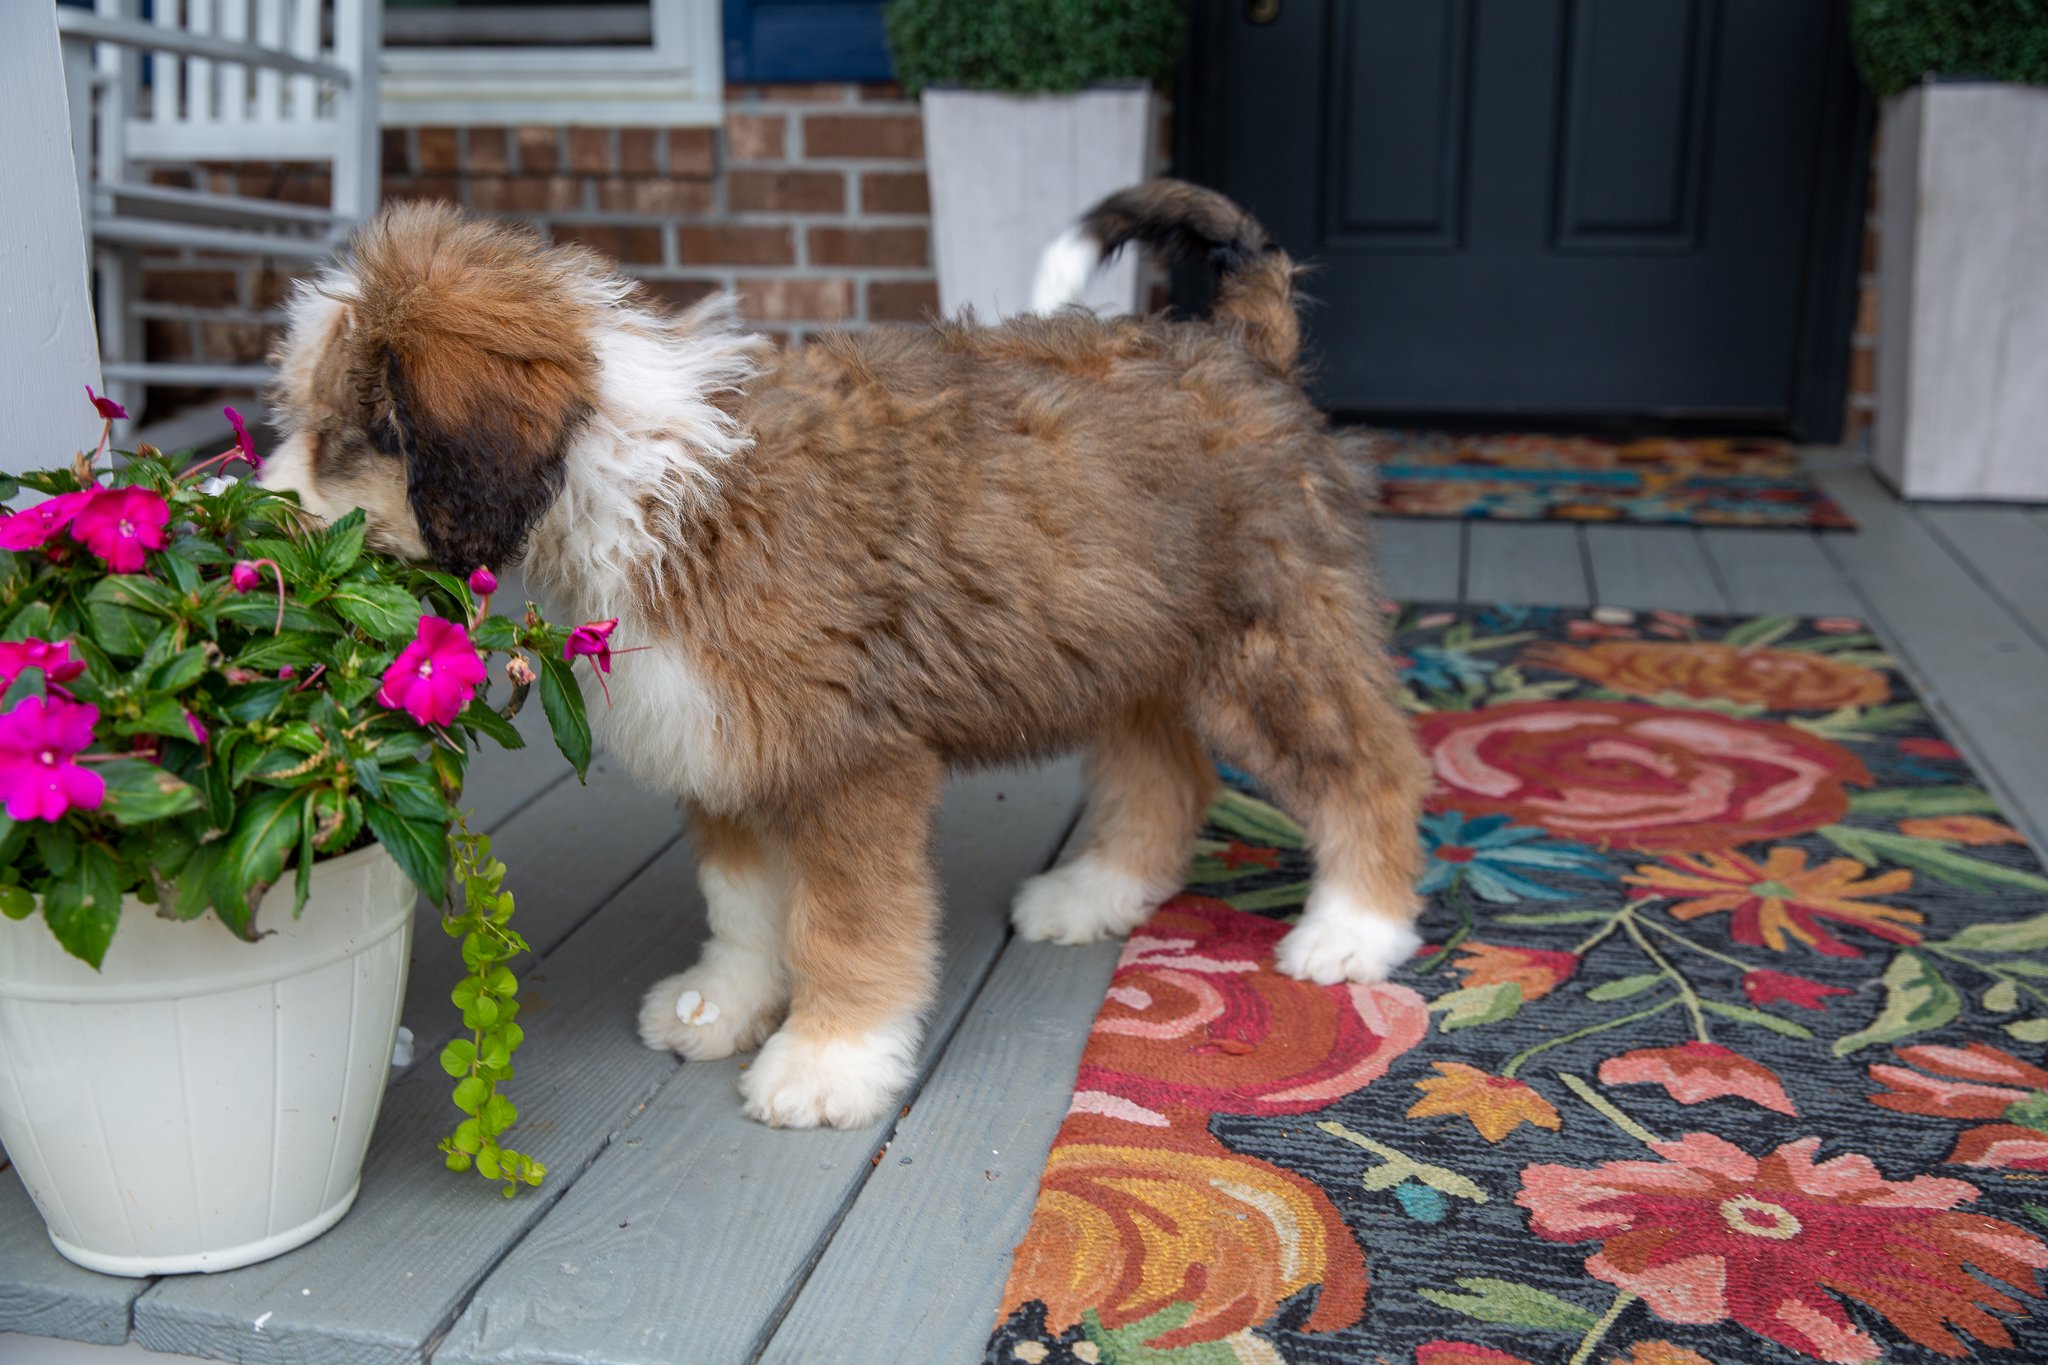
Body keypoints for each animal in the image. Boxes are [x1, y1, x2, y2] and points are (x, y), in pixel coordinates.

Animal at [256, 179, 1425, 1129]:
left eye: (346, 433)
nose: (249, 530)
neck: (640, 487)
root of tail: (1243, 346)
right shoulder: (728, 747)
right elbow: (744, 906)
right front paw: (725, 1001)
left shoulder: (849, 765)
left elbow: (846, 927)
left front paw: (829, 1060)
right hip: (1128, 647)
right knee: (1165, 775)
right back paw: (1097, 892)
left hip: (1270, 648)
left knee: (1369, 767)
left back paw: (1354, 929)